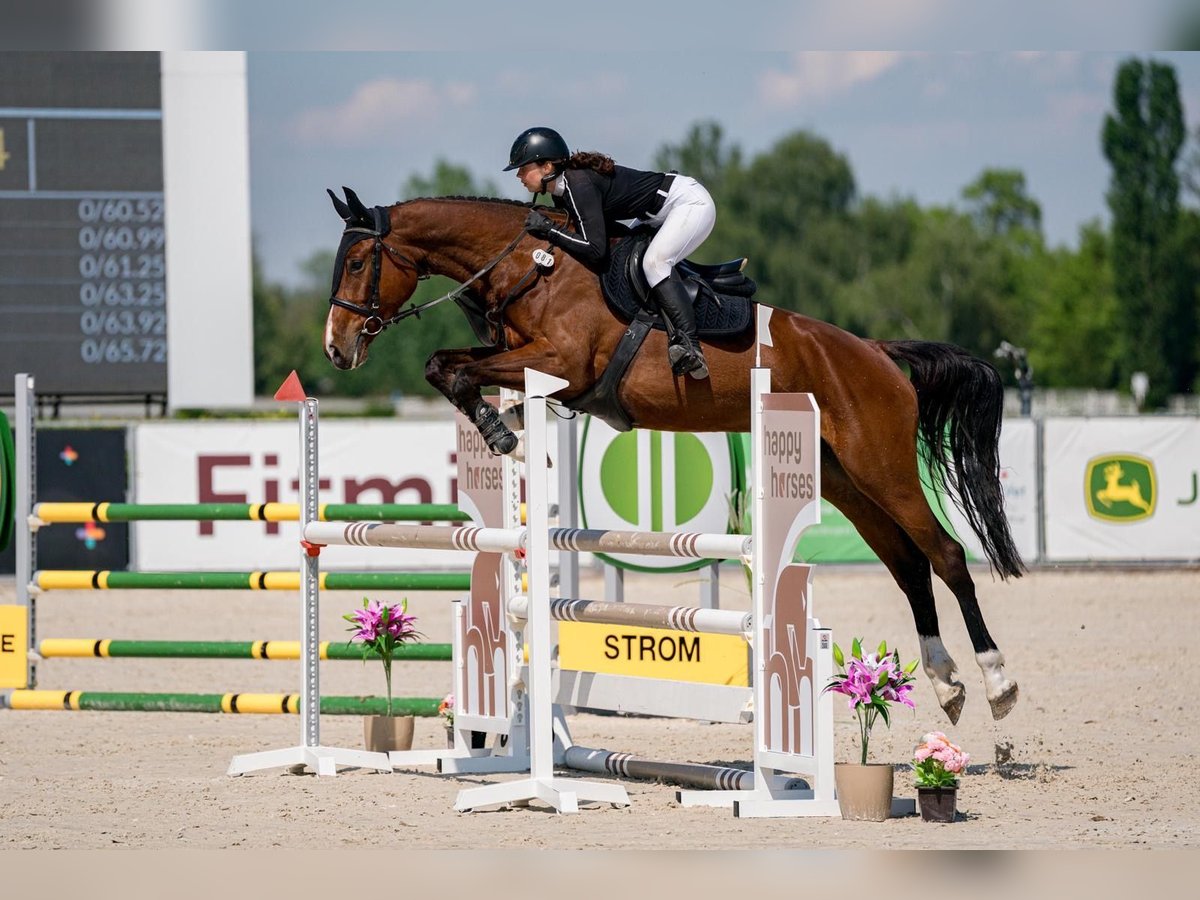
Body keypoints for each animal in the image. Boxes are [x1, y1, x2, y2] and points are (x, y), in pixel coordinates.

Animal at [323, 188, 1024, 724]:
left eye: (356, 261)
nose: (336, 349)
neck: (533, 264)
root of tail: (875, 352)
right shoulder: (523, 357)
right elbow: (444, 365)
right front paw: (505, 426)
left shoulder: (563, 363)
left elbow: (455, 367)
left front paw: (502, 431)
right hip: (844, 480)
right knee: (908, 564)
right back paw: (946, 684)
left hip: (882, 466)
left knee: (945, 554)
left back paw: (996, 682)